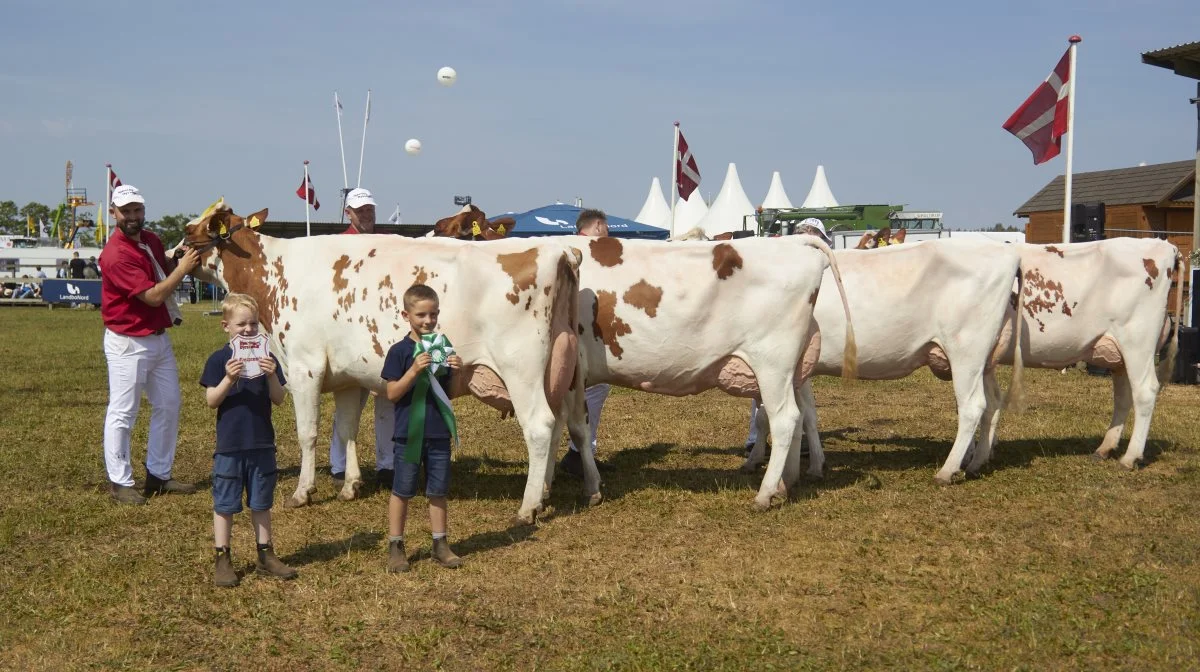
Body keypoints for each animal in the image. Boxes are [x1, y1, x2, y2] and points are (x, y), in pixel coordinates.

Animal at [178, 201, 585, 523]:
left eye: (190, 231)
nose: (173, 253)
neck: (276, 274)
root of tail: (558, 250)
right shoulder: (347, 376)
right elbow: (346, 430)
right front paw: (350, 485)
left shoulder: (304, 366)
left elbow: (308, 433)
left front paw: (302, 492)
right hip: (560, 370)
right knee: (561, 421)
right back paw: (545, 493)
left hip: (521, 369)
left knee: (540, 426)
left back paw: (527, 507)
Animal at [556, 236, 859, 508]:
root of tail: (796, 240)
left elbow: (576, 429)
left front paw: (588, 488)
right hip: (792, 372)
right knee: (801, 416)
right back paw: (785, 485)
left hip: (773, 363)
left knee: (785, 419)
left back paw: (764, 495)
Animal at [744, 238, 1027, 484]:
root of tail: (1007, 251)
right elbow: (808, 415)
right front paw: (815, 466)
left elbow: (769, 416)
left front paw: (758, 462)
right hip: (984, 360)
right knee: (992, 402)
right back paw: (977, 462)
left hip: (966, 351)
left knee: (972, 406)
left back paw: (947, 471)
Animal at [974, 240, 1180, 472]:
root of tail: (1166, 246)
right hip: (1119, 356)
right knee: (1123, 397)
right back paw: (1104, 449)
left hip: (1138, 342)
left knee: (1145, 391)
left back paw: (1130, 457)